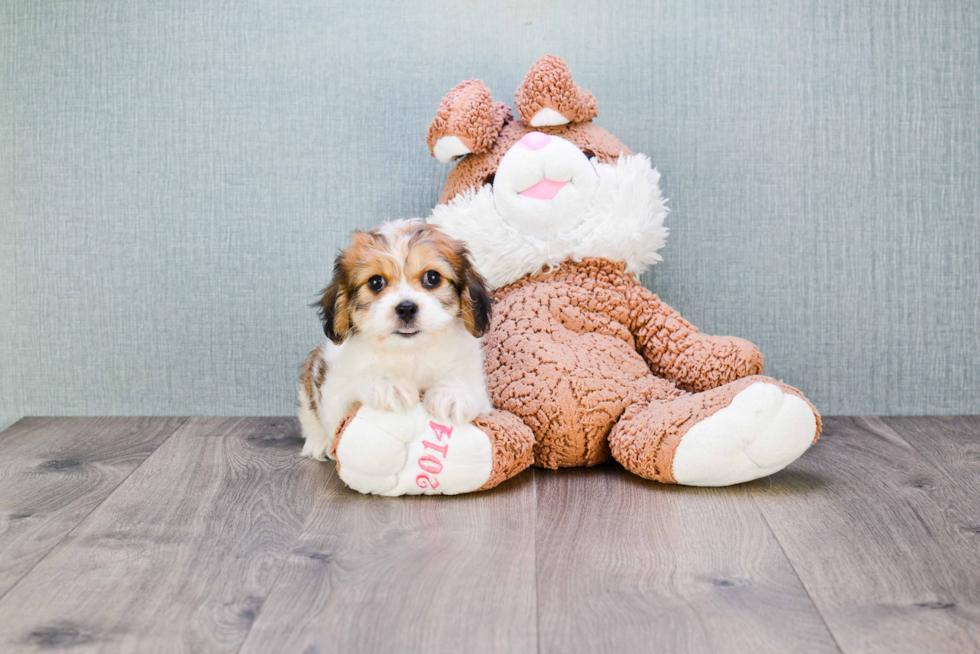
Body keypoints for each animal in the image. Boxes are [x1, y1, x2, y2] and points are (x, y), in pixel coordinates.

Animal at [298, 219, 494, 462]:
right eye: (376, 282)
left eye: (432, 277)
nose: (406, 308)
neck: (410, 353)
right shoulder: (335, 393)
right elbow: (354, 385)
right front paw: (387, 384)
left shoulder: (481, 395)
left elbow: (467, 387)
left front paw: (453, 394)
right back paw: (318, 442)